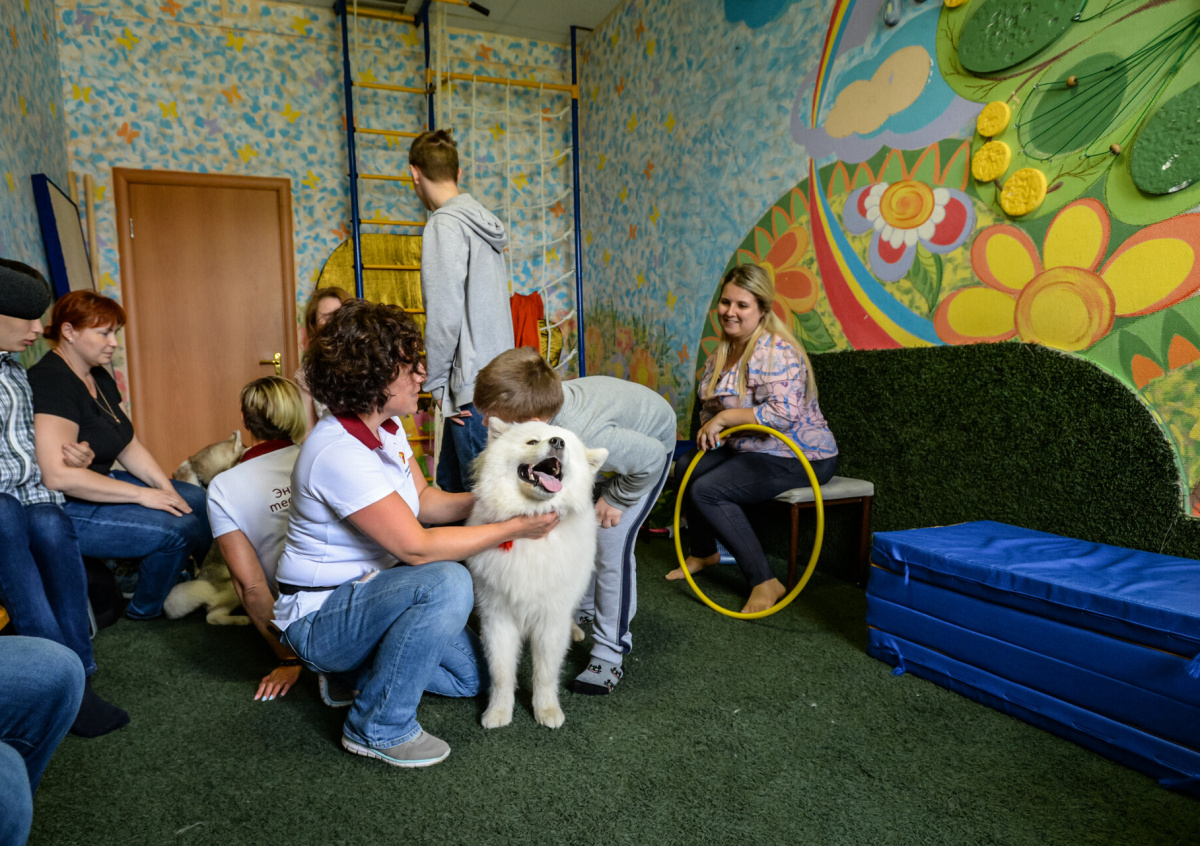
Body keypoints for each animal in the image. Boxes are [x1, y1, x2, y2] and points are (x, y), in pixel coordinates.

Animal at [467, 419, 607, 729]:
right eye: (532, 442)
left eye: (567, 445)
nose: (557, 442)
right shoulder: (498, 616)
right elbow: (501, 672)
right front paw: (498, 712)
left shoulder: (550, 618)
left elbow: (545, 673)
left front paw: (547, 710)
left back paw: (575, 630)